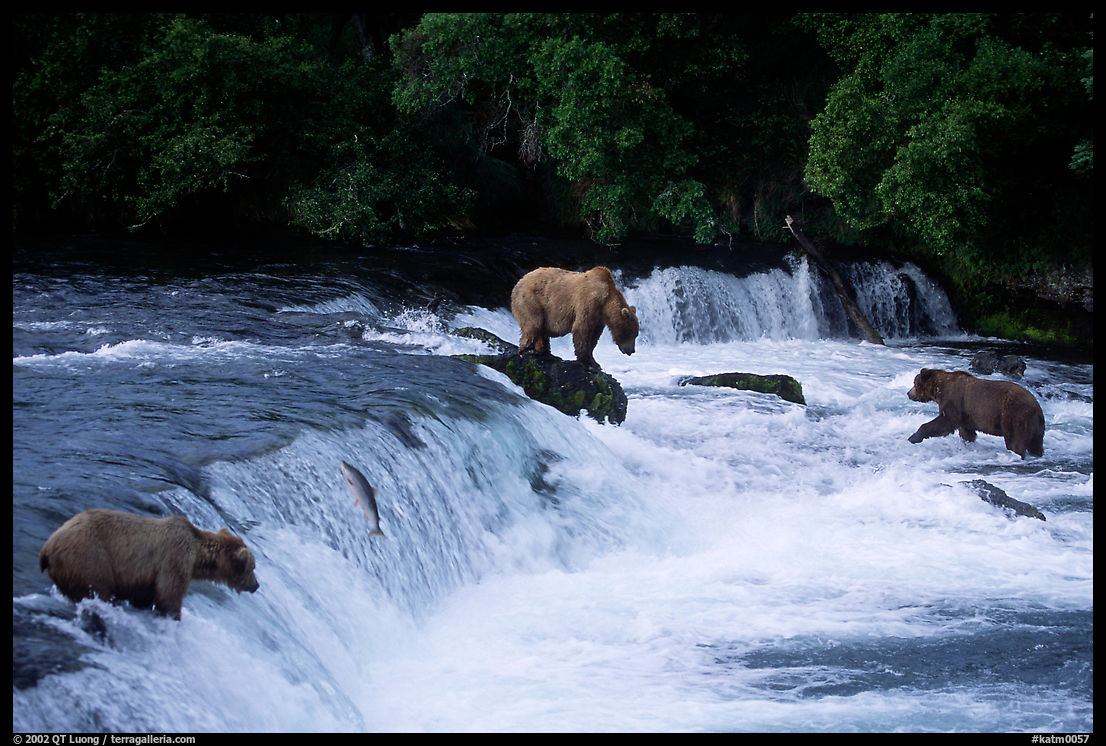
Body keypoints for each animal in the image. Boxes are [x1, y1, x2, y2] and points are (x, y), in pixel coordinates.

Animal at [38, 509, 260, 620]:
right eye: (252, 567)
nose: (256, 585)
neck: (197, 555)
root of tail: (47, 547)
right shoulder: (174, 558)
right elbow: (170, 594)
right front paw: (173, 616)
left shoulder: (145, 578)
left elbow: (145, 596)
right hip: (89, 559)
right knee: (96, 589)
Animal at [510, 266, 639, 371]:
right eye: (633, 334)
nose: (632, 350)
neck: (605, 302)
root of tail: (519, 281)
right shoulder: (588, 302)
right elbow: (582, 329)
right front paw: (587, 363)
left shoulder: (599, 319)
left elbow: (594, 337)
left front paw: (596, 363)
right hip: (531, 300)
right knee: (533, 324)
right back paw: (528, 350)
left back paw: (546, 352)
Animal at [906, 368, 1045, 459]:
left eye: (914, 382)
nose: (908, 393)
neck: (938, 389)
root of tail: (1037, 407)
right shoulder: (966, 414)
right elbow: (966, 432)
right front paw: (967, 443)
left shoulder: (953, 400)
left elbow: (945, 422)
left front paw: (913, 437)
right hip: (1036, 428)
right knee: (1036, 445)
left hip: (1015, 415)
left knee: (1015, 441)